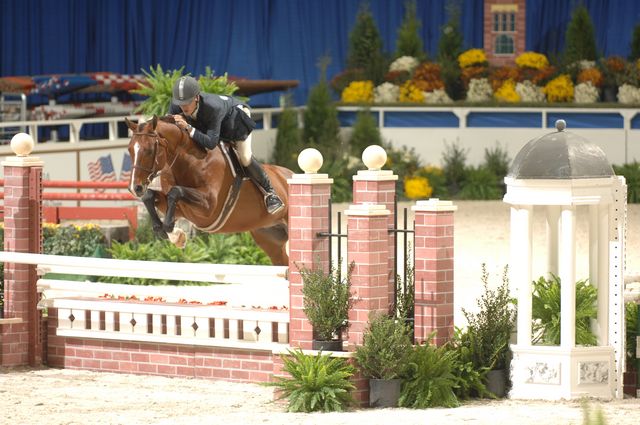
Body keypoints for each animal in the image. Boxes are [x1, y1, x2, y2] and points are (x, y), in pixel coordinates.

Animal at [124, 114, 292, 264]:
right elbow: (150, 196)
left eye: (149, 150)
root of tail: (289, 174)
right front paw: (169, 233)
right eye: (130, 149)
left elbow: (176, 191)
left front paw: (173, 232)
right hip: (270, 238)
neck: (189, 160)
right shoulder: (180, 208)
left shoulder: (208, 206)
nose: (135, 188)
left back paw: (273, 200)